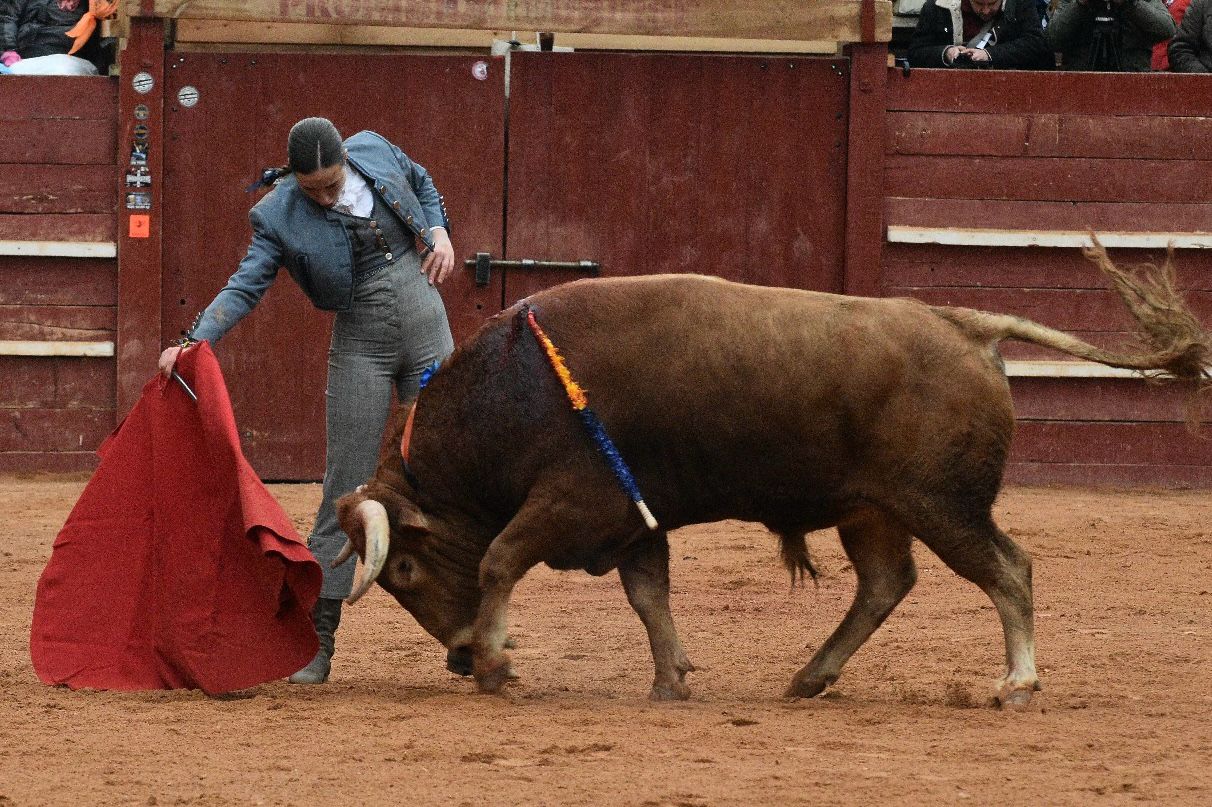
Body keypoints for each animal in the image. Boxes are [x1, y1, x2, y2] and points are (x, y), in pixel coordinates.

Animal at [334, 244, 1212, 702]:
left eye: (403, 568)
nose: (454, 655)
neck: (512, 390)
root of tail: (963, 324)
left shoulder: (573, 501)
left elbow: (498, 558)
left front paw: (497, 662)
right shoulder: (632, 519)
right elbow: (650, 597)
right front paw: (671, 680)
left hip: (945, 504)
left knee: (1008, 569)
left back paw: (1016, 681)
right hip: (874, 509)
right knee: (887, 582)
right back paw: (811, 674)